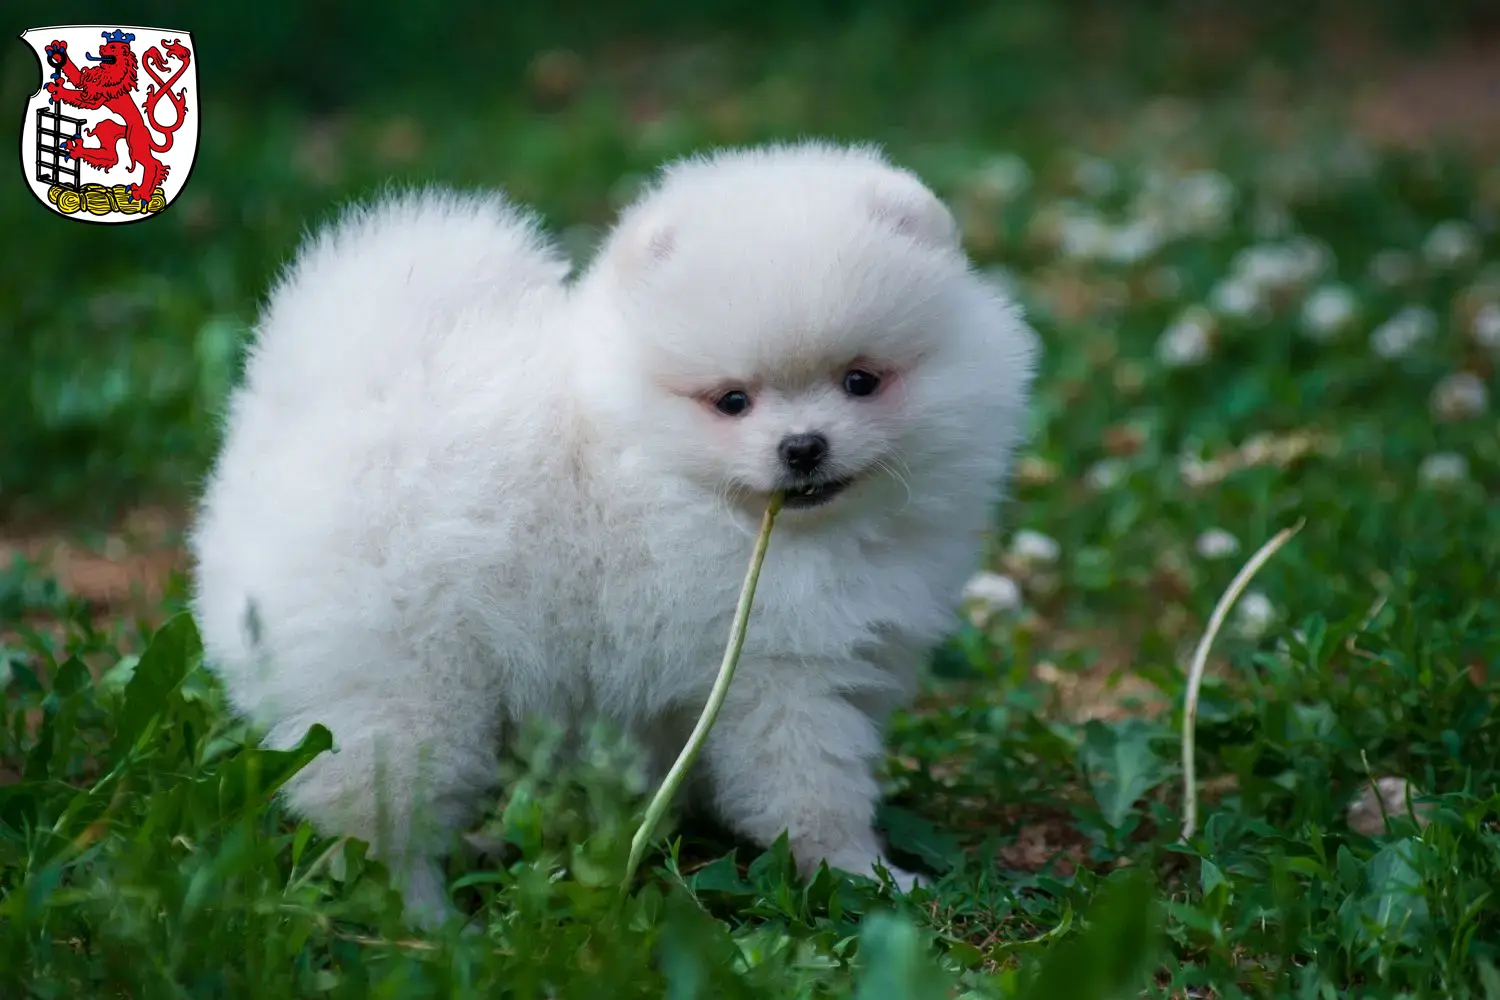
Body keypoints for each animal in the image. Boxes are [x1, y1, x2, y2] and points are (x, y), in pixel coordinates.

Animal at [43, 30, 190, 206]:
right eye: (107, 45)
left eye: (112, 47)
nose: (101, 47)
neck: (112, 73)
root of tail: (148, 134)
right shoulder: (88, 84)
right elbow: (77, 77)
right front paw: (58, 51)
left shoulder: (96, 98)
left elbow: (78, 96)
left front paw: (58, 90)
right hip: (107, 129)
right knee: (111, 155)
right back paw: (77, 149)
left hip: (135, 144)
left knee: (152, 164)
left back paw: (141, 193)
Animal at [187, 140, 1038, 929]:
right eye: (732, 401)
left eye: (862, 381)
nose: (802, 446)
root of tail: (312, 414)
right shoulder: (778, 671)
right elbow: (810, 790)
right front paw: (871, 876)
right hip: (409, 683)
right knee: (375, 807)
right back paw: (424, 920)